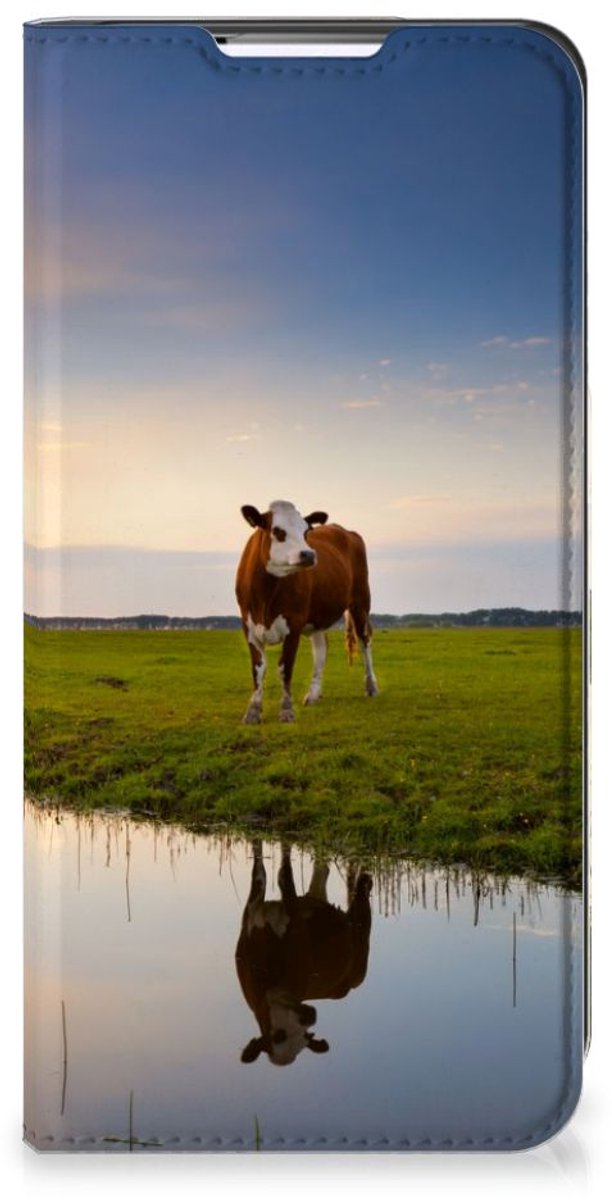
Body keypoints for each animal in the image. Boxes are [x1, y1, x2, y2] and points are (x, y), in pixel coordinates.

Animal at [235, 500, 378, 724]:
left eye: (306, 531)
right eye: (277, 531)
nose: (309, 554)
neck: (265, 595)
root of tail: (345, 530)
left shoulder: (294, 624)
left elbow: (285, 667)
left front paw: (286, 711)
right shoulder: (248, 626)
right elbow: (258, 668)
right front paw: (253, 711)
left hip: (360, 601)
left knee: (365, 641)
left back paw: (371, 686)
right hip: (318, 616)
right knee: (321, 649)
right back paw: (313, 695)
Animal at [235, 840, 373, 1066]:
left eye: (305, 1038)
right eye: (278, 1036)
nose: (310, 1016)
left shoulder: (296, 923)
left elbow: (284, 874)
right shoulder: (251, 912)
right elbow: (260, 869)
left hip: (360, 951)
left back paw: (365, 879)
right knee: (322, 871)